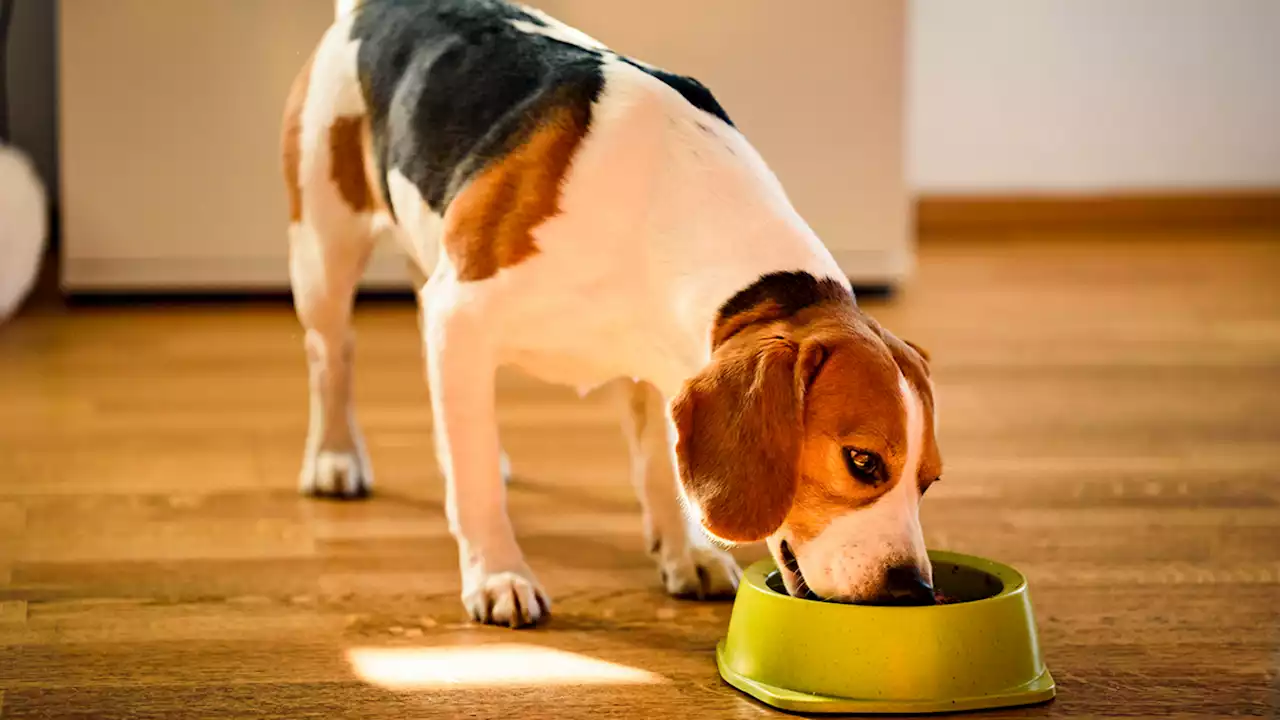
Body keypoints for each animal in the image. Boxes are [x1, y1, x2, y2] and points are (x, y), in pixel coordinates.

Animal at [282, 0, 942, 622]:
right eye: (862, 462)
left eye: (930, 481)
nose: (913, 591)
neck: (662, 204)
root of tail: (373, 9)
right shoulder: (462, 314)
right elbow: (477, 486)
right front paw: (497, 574)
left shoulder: (661, 364)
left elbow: (659, 467)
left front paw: (685, 553)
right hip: (324, 255)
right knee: (331, 357)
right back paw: (335, 458)